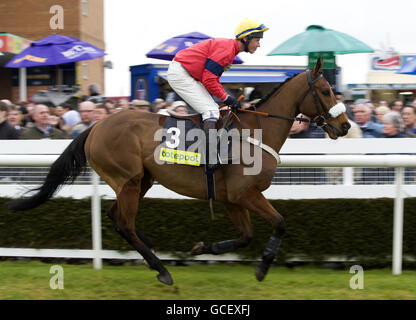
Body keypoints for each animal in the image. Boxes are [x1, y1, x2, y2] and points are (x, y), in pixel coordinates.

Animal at [7, 59, 352, 284]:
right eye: (325, 90)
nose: (345, 125)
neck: (256, 130)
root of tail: (95, 126)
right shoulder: (245, 193)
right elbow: (279, 223)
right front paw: (263, 267)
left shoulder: (231, 199)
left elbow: (246, 236)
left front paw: (204, 248)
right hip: (129, 180)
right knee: (124, 223)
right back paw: (161, 268)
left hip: (141, 181)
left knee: (117, 218)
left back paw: (151, 250)